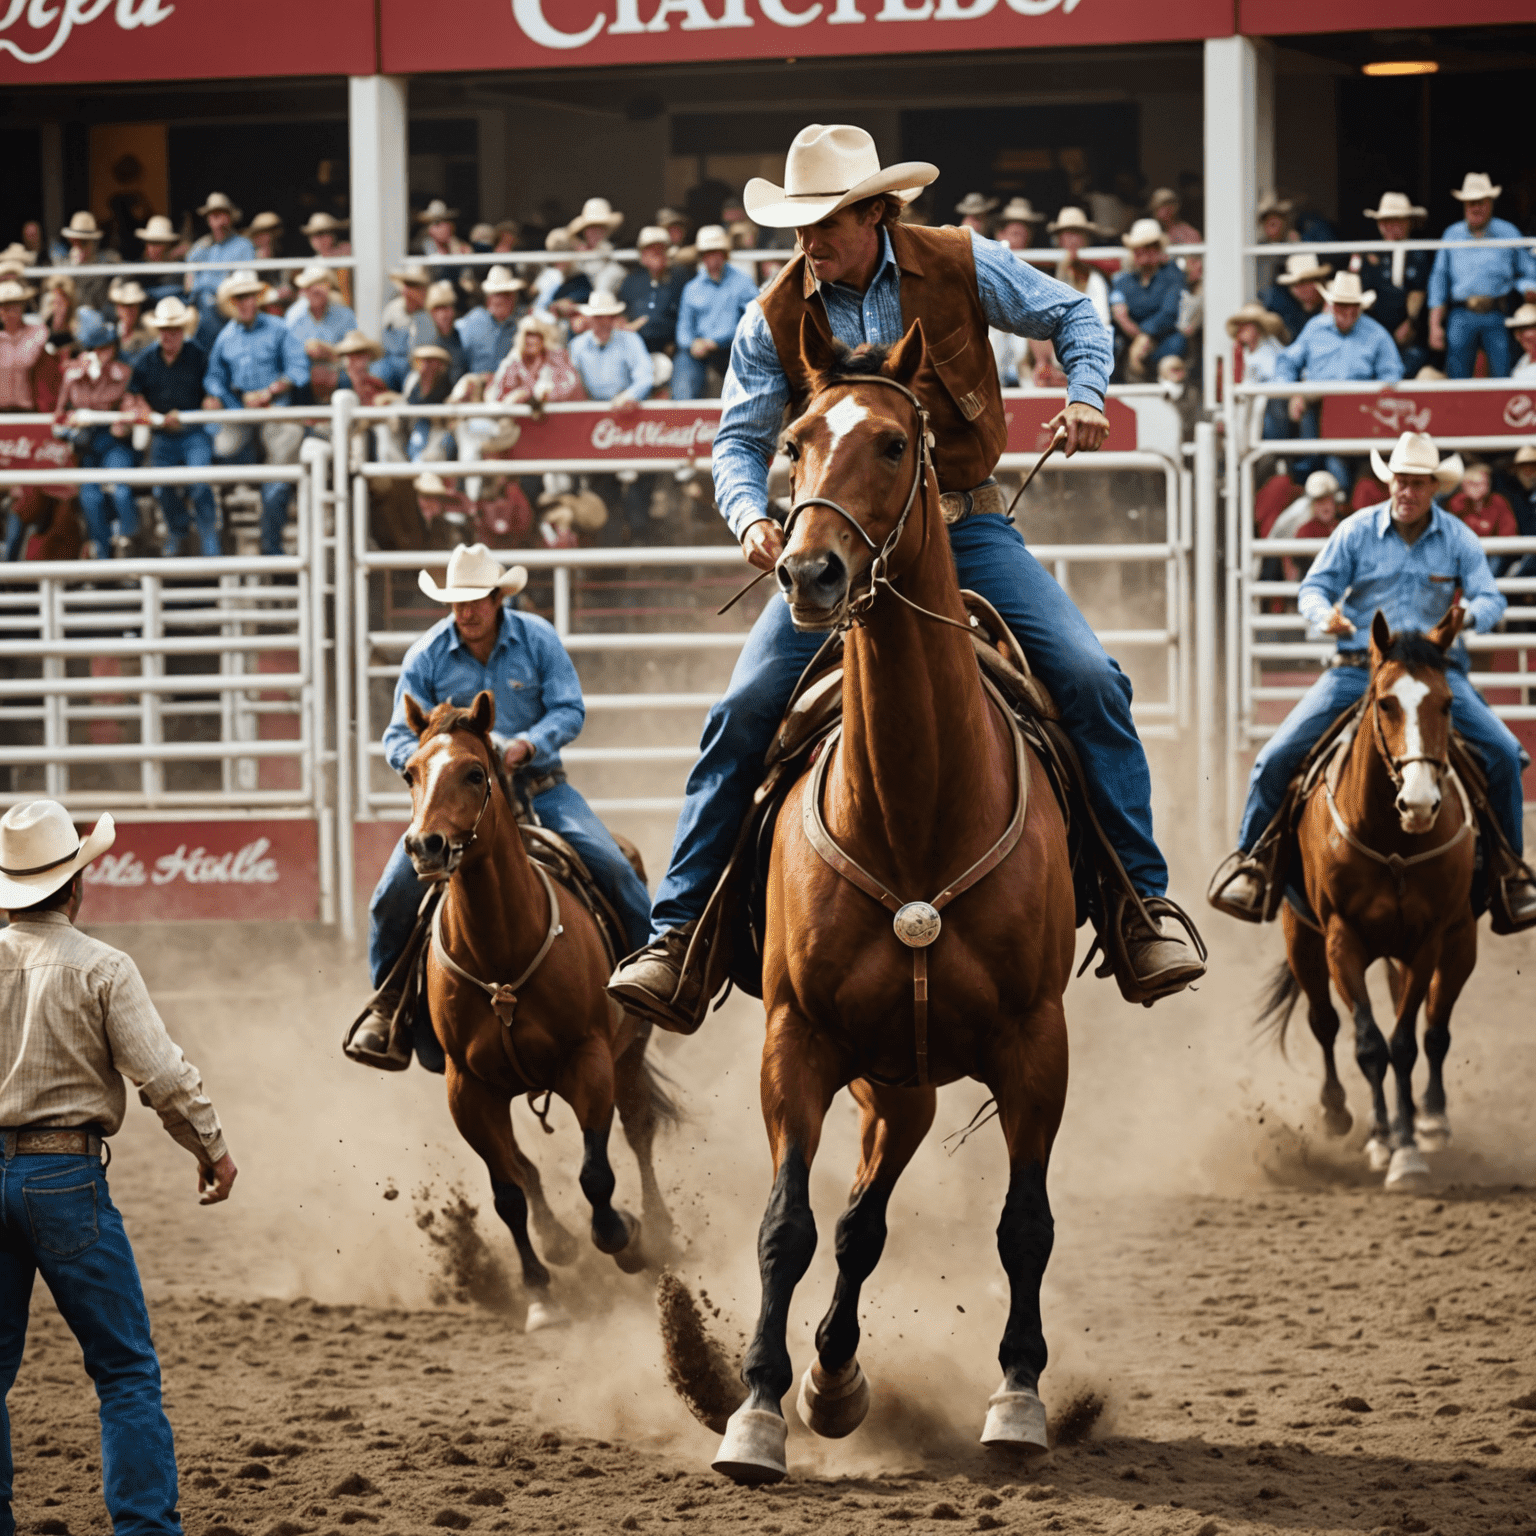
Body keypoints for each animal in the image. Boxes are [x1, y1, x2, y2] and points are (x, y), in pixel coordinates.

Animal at [402, 697, 678, 1333]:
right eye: (409, 773)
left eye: (474, 772)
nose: (426, 846)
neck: (499, 950)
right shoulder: (466, 1088)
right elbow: (507, 1191)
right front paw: (539, 1293)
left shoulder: (590, 1060)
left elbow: (596, 1173)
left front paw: (624, 1238)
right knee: (525, 1170)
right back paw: (558, 1242)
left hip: (630, 1051)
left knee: (639, 1133)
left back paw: (657, 1231)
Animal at [709, 327, 1081, 1486]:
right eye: (791, 442)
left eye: (890, 442)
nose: (807, 571)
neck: (915, 815)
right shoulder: (796, 1041)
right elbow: (787, 1224)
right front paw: (757, 1412)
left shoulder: (1036, 1046)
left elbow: (1024, 1226)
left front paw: (1018, 1397)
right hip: (888, 1069)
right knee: (854, 1219)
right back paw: (826, 1382)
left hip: (911, 1072)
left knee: (870, 1219)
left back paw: (842, 1378)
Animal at [1259, 608, 1474, 1185]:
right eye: (1386, 702)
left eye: (1447, 702)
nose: (1419, 803)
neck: (1392, 841)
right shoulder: (1341, 939)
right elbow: (1368, 1043)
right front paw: (1382, 1141)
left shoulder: (1427, 942)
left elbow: (1403, 1043)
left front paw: (1407, 1147)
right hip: (1301, 938)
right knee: (1324, 1022)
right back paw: (1337, 1112)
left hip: (1458, 940)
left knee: (1435, 1027)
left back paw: (1432, 1117)